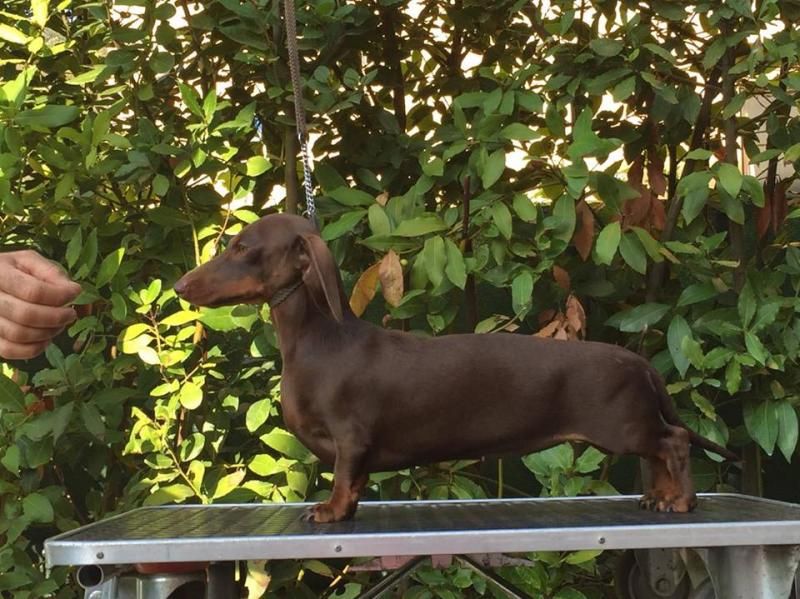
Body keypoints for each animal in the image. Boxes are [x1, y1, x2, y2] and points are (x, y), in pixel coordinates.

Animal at [175, 213, 736, 524]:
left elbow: (343, 478)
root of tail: (636, 359)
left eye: (242, 248)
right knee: (660, 453)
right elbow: (353, 483)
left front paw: (331, 511)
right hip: (631, 427)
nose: (180, 286)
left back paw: (681, 501)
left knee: (674, 444)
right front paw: (343, 509)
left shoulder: (350, 437)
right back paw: (659, 497)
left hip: (621, 427)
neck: (319, 339)